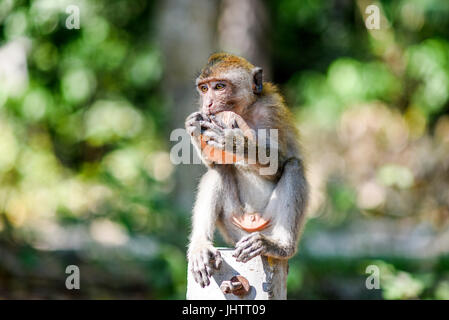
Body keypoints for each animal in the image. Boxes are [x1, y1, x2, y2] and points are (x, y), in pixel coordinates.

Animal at [183, 53, 308, 290]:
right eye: (204, 88)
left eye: (219, 86)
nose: (208, 103)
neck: (245, 111)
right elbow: (214, 164)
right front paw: (194, 124)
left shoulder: (270, 110)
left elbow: (276, 165)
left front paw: (235, 141)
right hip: (235, 227)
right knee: (218, 172)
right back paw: (201, 247)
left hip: (267, 223)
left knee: (294, 166)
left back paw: (280, 245)